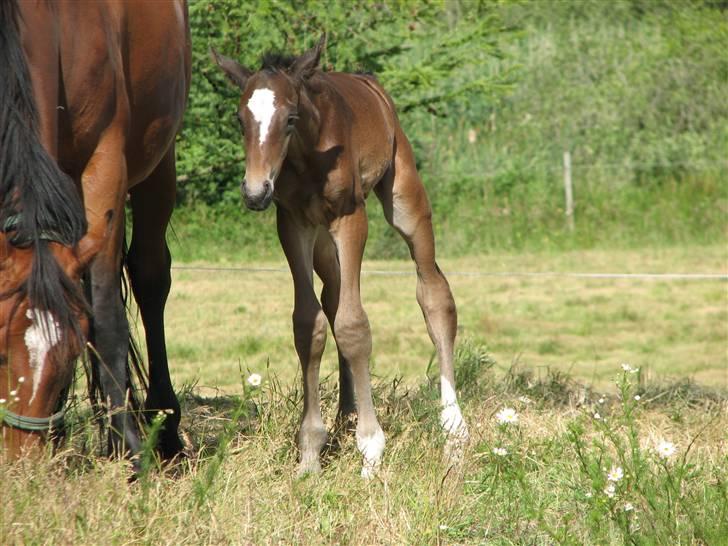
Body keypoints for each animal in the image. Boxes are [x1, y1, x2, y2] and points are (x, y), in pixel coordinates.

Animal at [0, 0, 191, 464]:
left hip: (158, 164)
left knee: (149, 278)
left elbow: (106, 319)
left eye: (68, 356)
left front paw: (131, 448)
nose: (23, 464)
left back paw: (163, 426)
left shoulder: (106, 164)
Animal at [213, 36, 470, 474]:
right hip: (321, 244)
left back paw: (453, 427)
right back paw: (345, 417)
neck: (308, 156)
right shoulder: (292, 223)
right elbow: (309, 324)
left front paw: (371, 448)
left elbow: (353, 326)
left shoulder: (350, 217)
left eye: (290, 118)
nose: (255, 191)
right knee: (332, 299)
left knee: (434, 292)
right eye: (240, 119)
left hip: (404, 198)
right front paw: (309, 452)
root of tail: (370, 82)